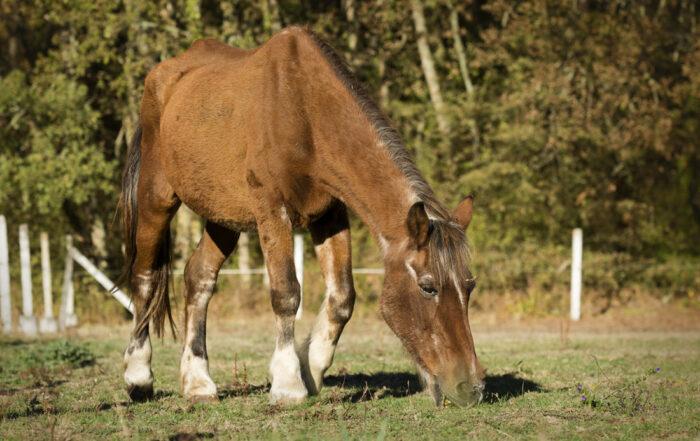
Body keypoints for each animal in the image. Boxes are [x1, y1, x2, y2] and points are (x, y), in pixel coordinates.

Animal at [118, 26, 484, 407]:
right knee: (145, 278)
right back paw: (138, 376)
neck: (305, 111)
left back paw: (198, 382)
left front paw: (311, 369)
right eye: (428, 287)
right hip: (156, 197)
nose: (470, 387)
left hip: (223, 218)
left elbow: (342, 297)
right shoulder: (271, 211)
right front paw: (288, 383)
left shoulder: (330, 215)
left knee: (199, 279)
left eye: (469, 286)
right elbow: (286, 293)